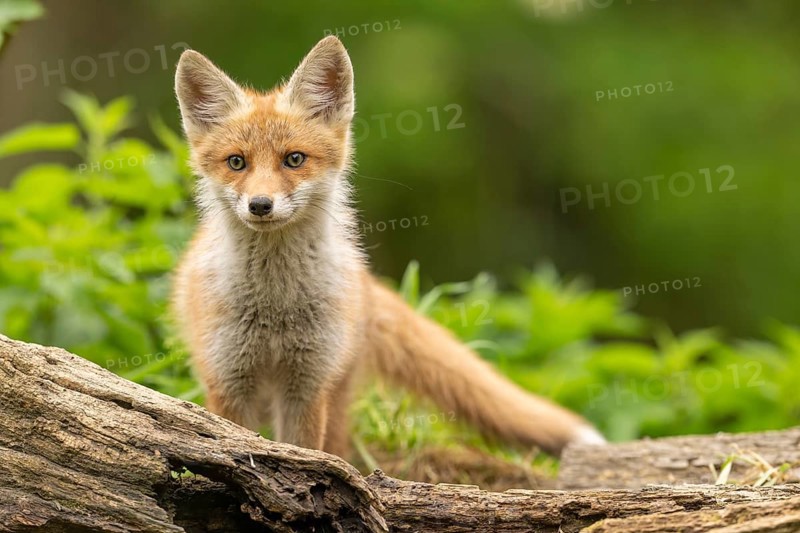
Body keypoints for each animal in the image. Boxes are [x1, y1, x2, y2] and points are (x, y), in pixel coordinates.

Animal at [171, 36, 605, 459]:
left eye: (294, 159)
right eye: (236, 162)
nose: (260, 205)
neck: (274, 306)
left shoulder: (307, 385)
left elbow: (302, 452)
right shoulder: (228, 381)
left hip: (334, 394)